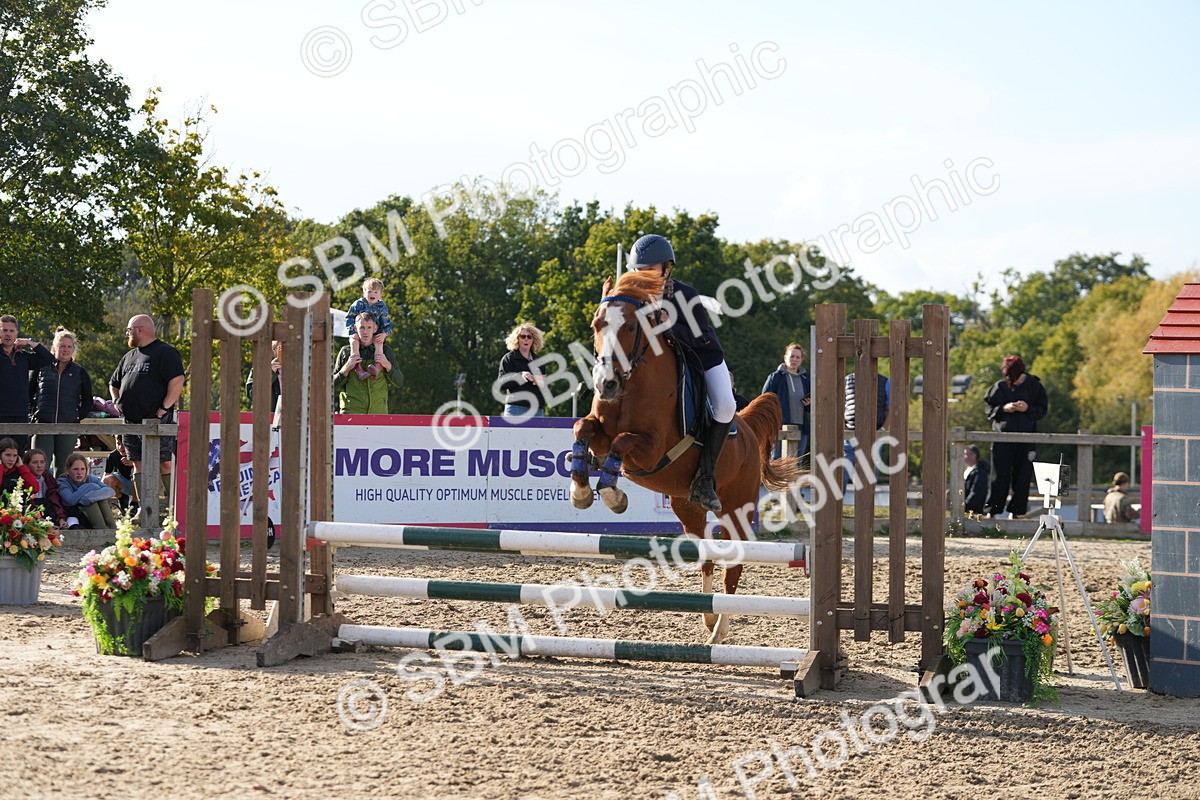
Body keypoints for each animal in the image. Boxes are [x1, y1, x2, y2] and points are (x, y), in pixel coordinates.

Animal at [569, 270, 802, 644]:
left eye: (631, 327)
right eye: (596, 324)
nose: (606, 384)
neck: (632, 384)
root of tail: (747, 428)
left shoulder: (651, 450)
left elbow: (622, 442)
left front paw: (613, 495)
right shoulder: (599, 431)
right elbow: (582, 428)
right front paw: (580, 489)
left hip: (736, 508)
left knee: (733, 565)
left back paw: (719, 632)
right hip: (687, 508)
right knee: (706, 556)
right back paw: (708, 618)